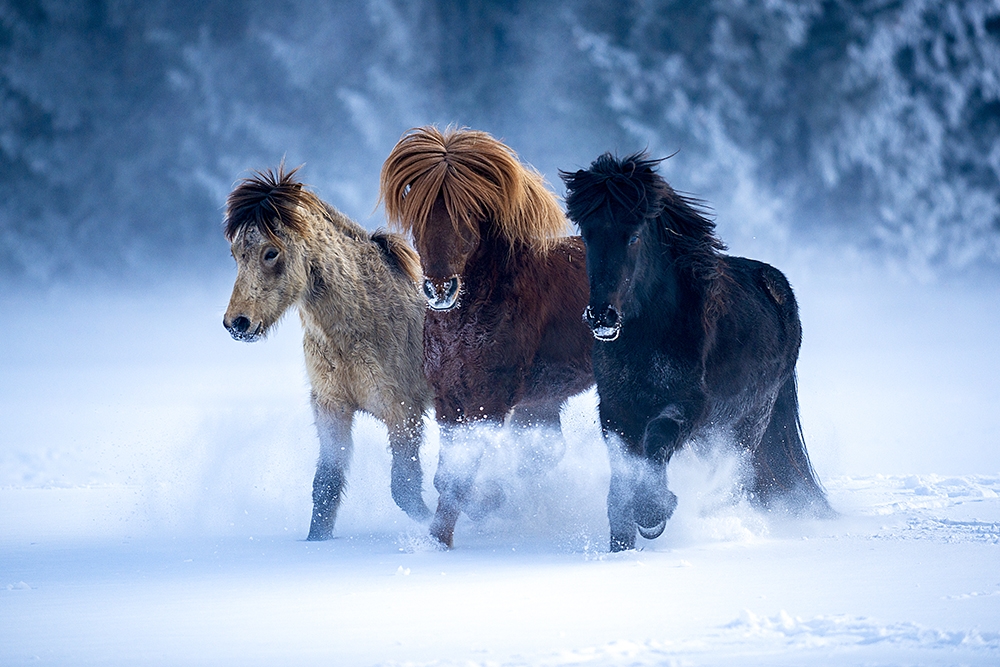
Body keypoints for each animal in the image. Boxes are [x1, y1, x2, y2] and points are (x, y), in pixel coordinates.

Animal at [222, 165, 433, 540]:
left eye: (271, 252)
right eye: (235, 254)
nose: (238, 323)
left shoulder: (403, 411)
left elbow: (405, 488)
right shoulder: (331, 407)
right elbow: (326, 485)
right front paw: (316, 541)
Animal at [379, 126, 594, 548]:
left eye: (468, 214)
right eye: (419, 213)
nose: (440, 289)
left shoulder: (488, 400)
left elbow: (460, 479)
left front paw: (440, 541)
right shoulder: (449, 398)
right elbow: (449, 476)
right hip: (542, 401)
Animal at [561, 152, 832, 552]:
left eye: (634, 235)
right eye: (587, 234)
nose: (601, 316)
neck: (648, 337)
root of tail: (781, 290)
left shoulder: (690, 405)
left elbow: (657, 440)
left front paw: (653, 514)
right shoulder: (615, 407)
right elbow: (621, 479)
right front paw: (621, 546)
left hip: (745, 423)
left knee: (735, 477)